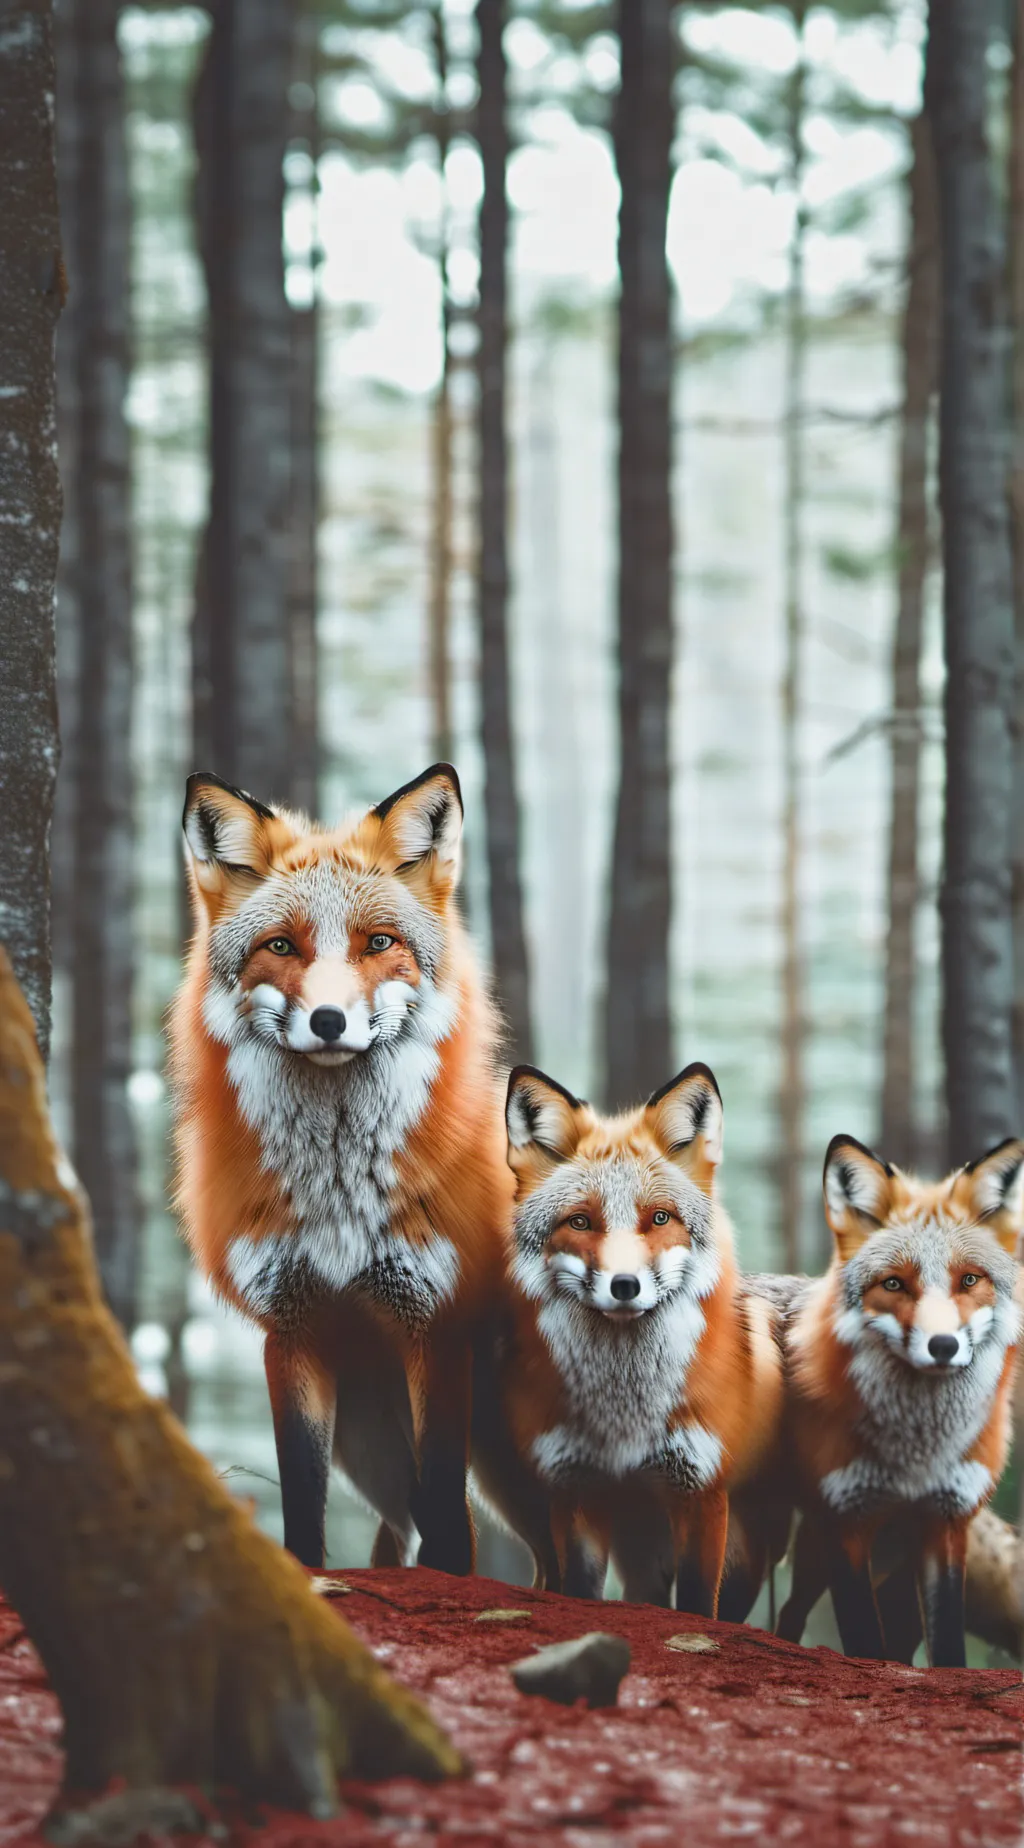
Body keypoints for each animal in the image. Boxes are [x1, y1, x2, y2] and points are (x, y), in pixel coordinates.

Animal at [168, 762, 513, 1574]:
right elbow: (300, 1492)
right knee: (397, 1526)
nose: (329, 1021)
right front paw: (307, 1580)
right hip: (371, 1451)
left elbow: (447, 1513)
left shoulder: (433, 1326)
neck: (338, 1196)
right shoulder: (292, 1329)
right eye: (282, 946)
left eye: (378, 942)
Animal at [472, 1061, 787, 1614]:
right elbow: (579, 1590)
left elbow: (699, 1605)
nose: (625, 1286)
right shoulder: (576, 1490)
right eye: (580, 1222)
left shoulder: (700, 1492)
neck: (625, 1416)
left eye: (659, 1218)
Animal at [776, 1133, 1023, 1667]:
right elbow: (865, 1640)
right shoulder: (845, 1519)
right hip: (814, 1548)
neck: (919, 1454)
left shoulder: (947, 1521)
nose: (942, 1346)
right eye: (893, 1284)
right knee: (788, 1612)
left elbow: (947, 1643)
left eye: (969, 1280)